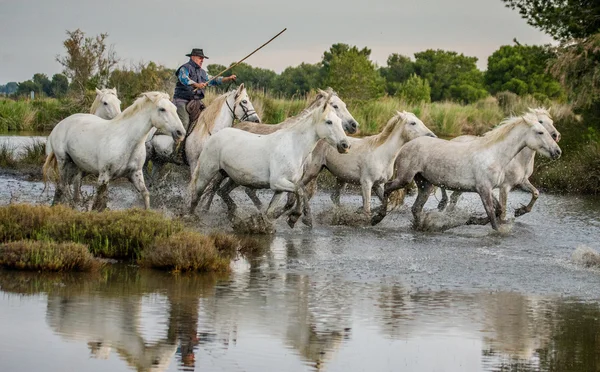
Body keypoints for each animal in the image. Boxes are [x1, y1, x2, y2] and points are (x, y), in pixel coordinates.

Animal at [43, 92, 184, 211]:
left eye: (175, 109)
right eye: (162, 109)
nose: (180, 133)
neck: (126, 140)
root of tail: (61, 123)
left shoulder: (135, 173)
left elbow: (145, 194)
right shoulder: (104, 177)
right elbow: (99, 203)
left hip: (77, 165)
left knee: (70, 188)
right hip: (63, 160)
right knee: (63, 186)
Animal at [190, 93, 350, 227]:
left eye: (338, 120)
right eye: (329, 121)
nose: (345, 145)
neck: (293, 145)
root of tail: (217, 134)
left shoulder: (281, 188)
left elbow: (279, 205)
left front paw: (271, 222)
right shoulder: (277, 182)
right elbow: (300, 191)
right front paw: (297, 218)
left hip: (232, 176)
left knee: (221, 191)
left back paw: (232, 214)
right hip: (207, 172)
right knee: (198, 194)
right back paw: (193, 216)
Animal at [302, 110, 434, 215]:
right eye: (413, 123)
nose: (432, 135)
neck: (382, 154)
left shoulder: (378, 184)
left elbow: (387, 203)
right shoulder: (366, 183)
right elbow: (367, 209)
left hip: (341, 178)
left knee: (334, 197)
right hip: (312, 171)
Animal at [370, 113, 564, 230]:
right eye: (540, 131)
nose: (557, 151)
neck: (494, 154)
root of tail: (406, 145)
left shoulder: (490, 188)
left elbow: (499, 210)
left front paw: (473, 220)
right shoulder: (484, 189)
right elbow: (493, 216)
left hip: (425, 184)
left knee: (416, 208)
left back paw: (421, 227)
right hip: (405, 177)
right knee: (387, 187)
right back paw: (377, 218)